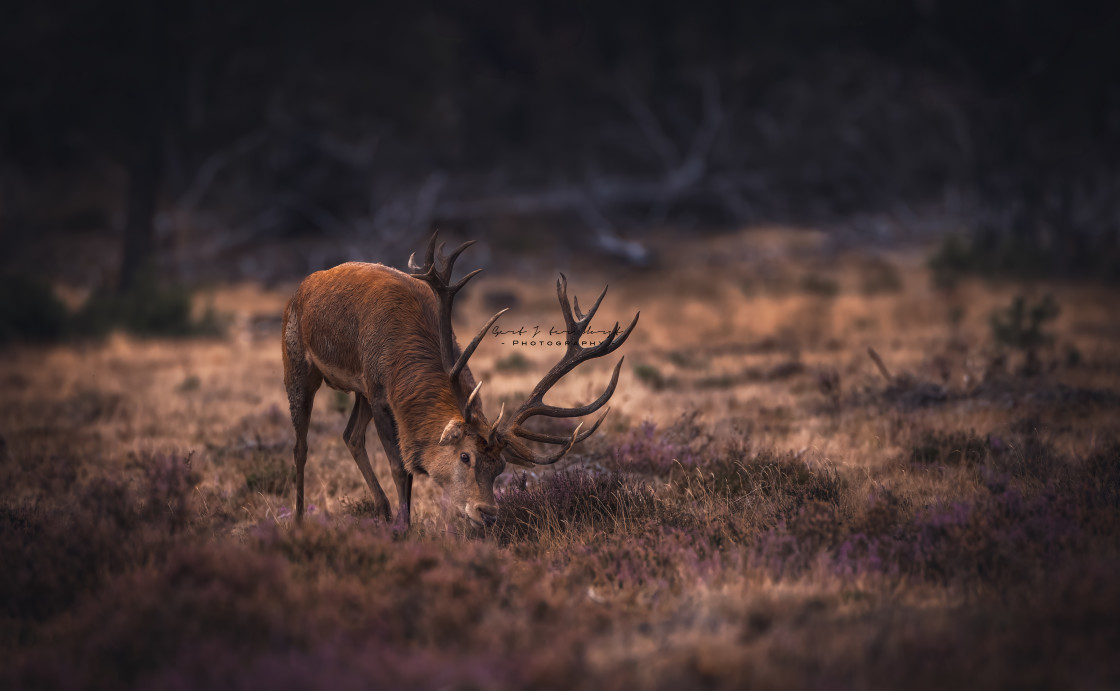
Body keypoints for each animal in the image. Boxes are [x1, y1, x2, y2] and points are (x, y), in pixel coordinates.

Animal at [280, 234, 640, 526]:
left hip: (358, 392)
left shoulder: (371, 391)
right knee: (301, 445)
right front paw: (404, 530)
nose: (488, 513)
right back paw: (298, 520)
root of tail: (302, 287)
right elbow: (400, 468)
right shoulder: (379, 392)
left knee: (350, 435)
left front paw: (399, 523)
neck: (401, 367)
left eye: (501, 468)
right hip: (296, 361)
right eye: (466, 456)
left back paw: (381, 511)